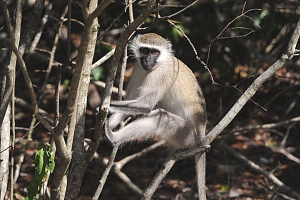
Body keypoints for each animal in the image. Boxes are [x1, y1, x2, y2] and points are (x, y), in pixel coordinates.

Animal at [105, 32, 206, 198]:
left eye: (154, 52)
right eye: (145, 50)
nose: (147, 60)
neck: (159, 63)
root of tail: (202, 136)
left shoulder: (160, 74)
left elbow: (146, 105)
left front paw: (105, 106)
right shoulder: (138, 68)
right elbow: (129, 99)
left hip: (188, 135)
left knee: (160, 117)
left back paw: (114, 138)